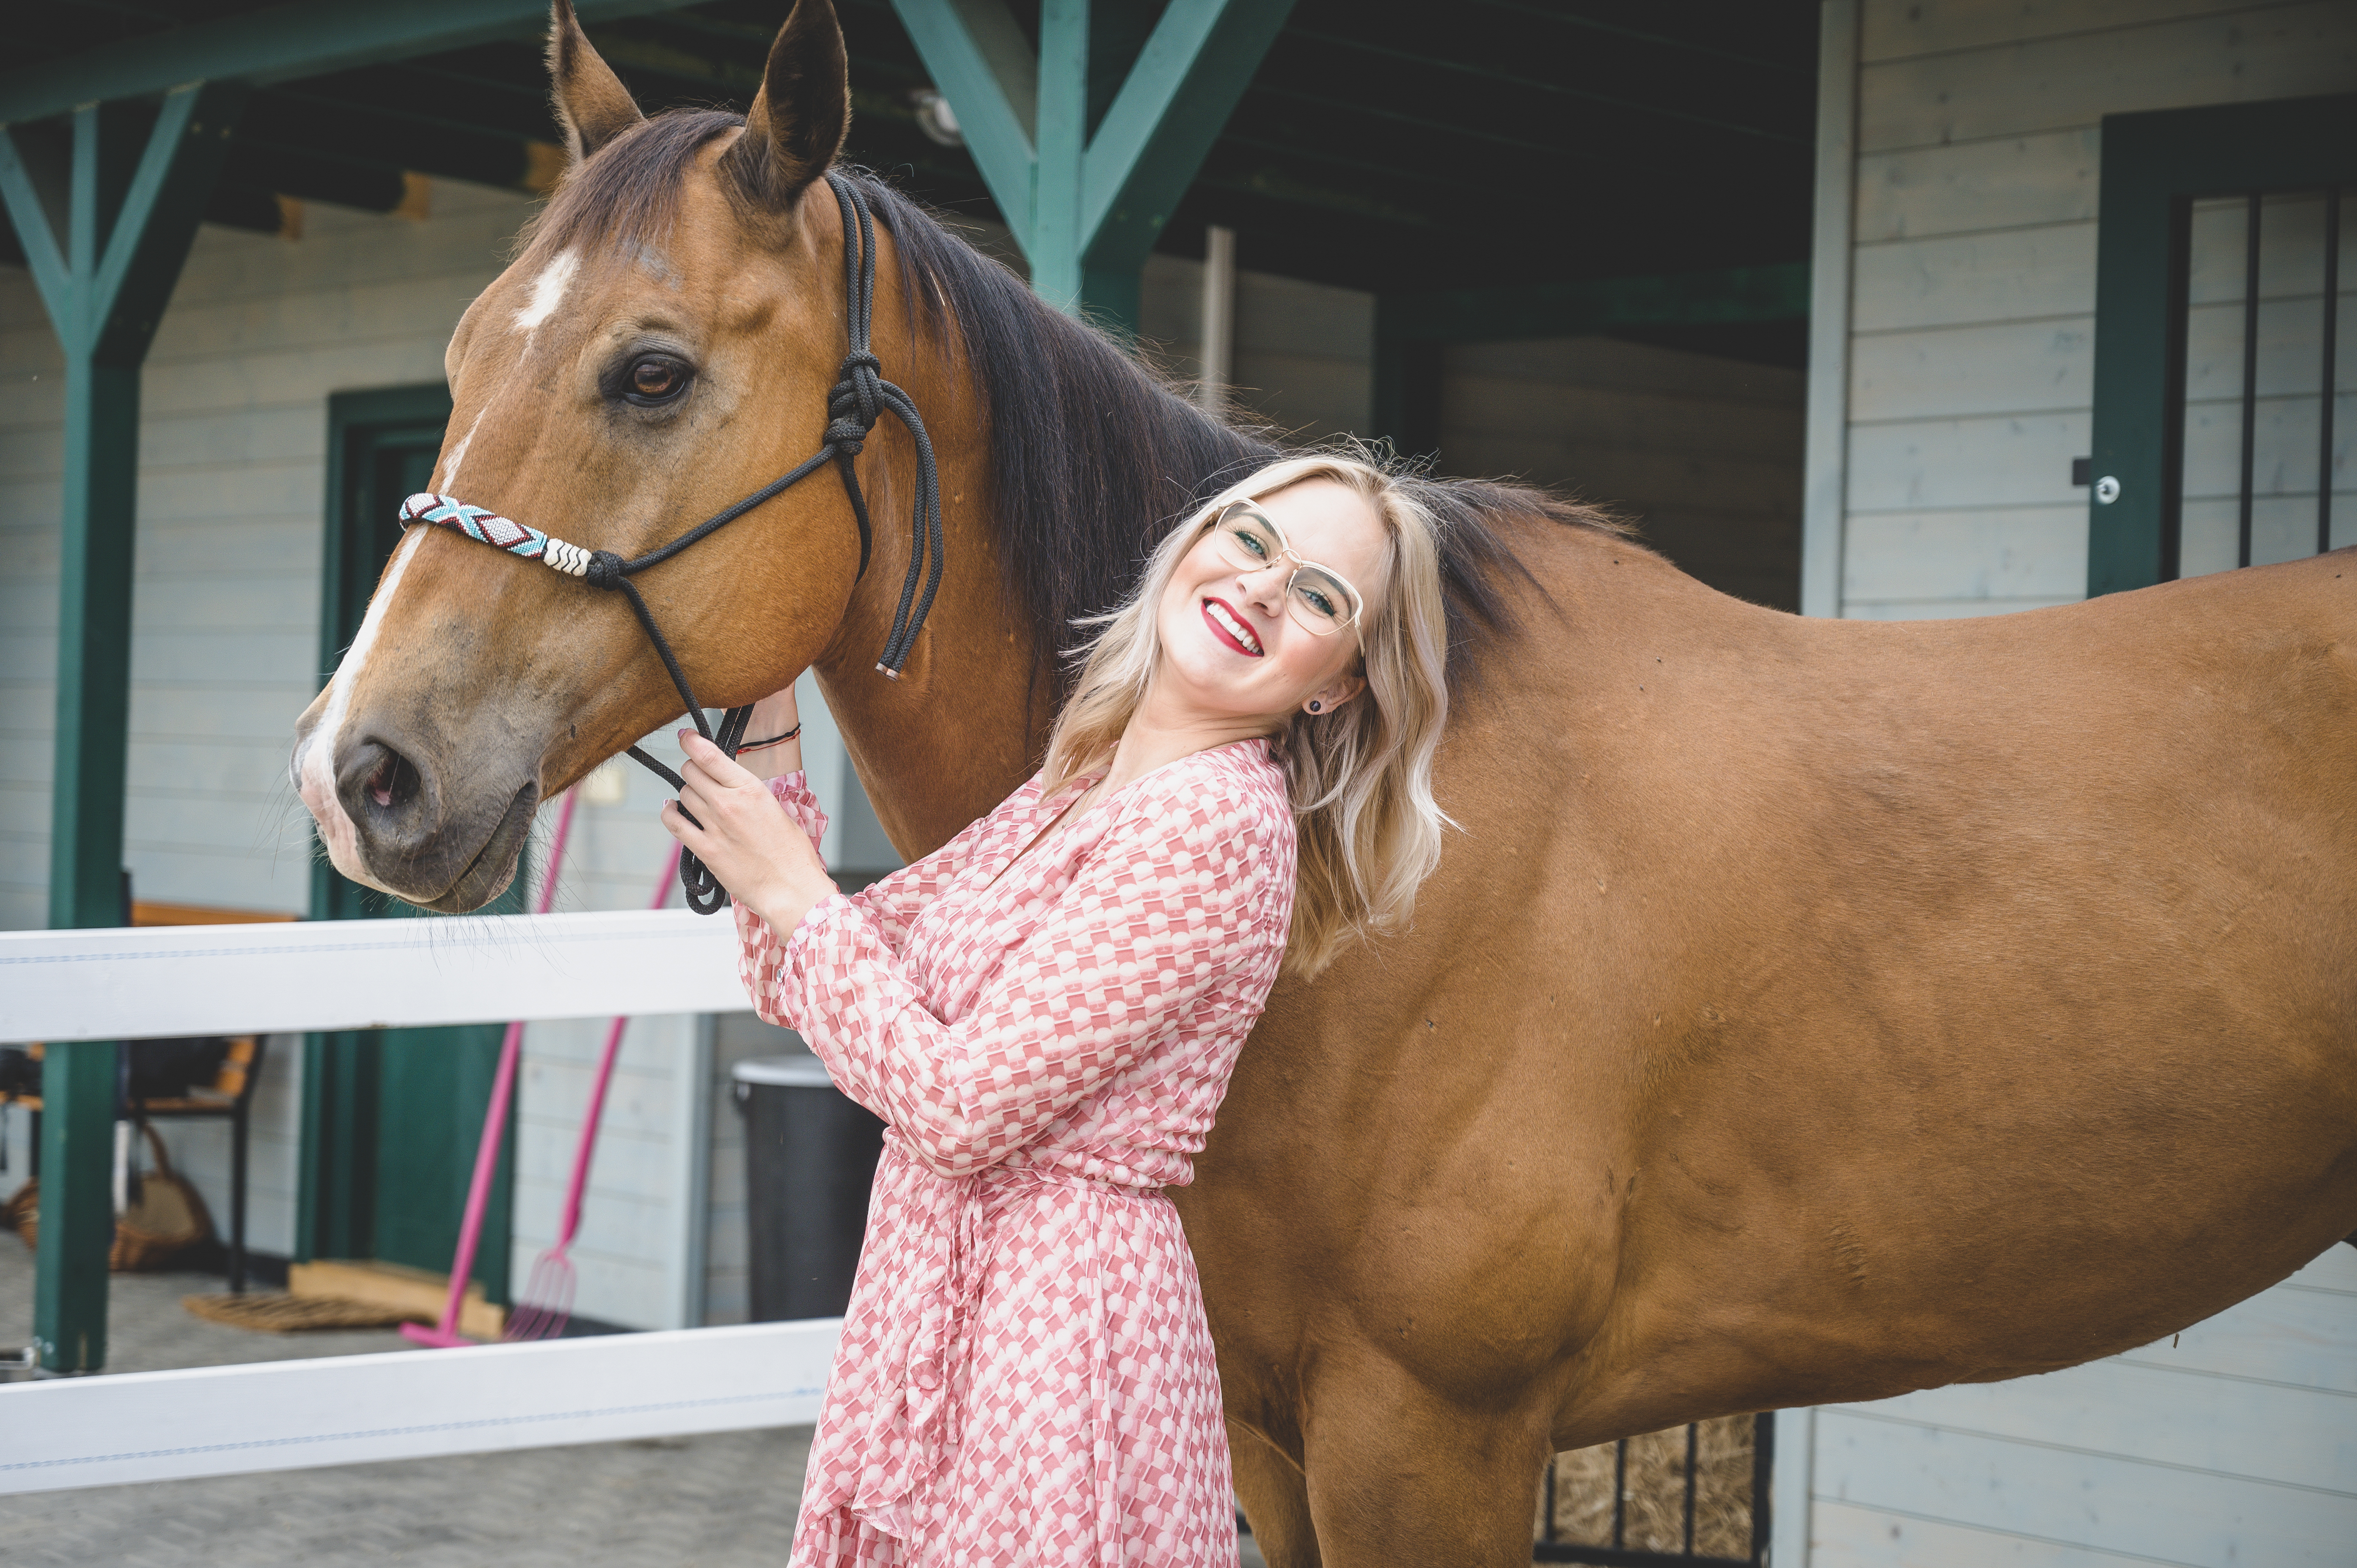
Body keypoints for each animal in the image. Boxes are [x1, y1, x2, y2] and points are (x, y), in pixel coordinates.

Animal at [294, 6, 2357, 1556]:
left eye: (649, 373)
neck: (1369, 878)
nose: (357, 773)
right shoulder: (1275, 1435)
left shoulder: (1429, 1439)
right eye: (465, 351)